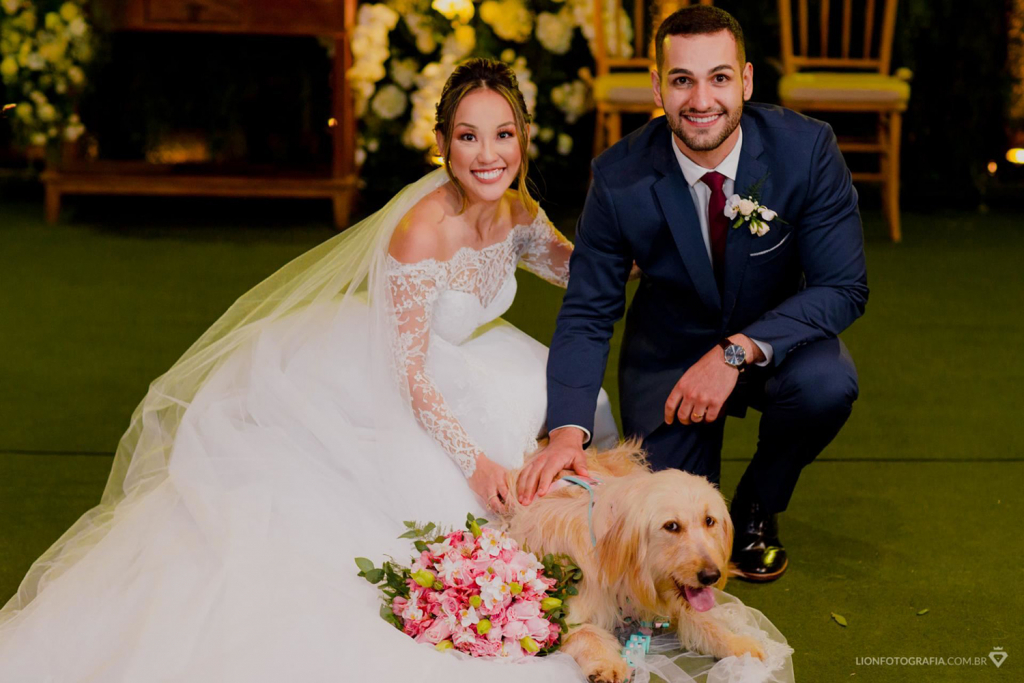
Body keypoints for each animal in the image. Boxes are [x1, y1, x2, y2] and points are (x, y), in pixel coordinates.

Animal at [499, 440, 765, 679]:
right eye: (671, 526)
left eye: (709, 520)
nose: (711, 576)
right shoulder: (561, 615)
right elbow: (587, 633)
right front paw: (608, 665)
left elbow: (706, 620)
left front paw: (738, 643)